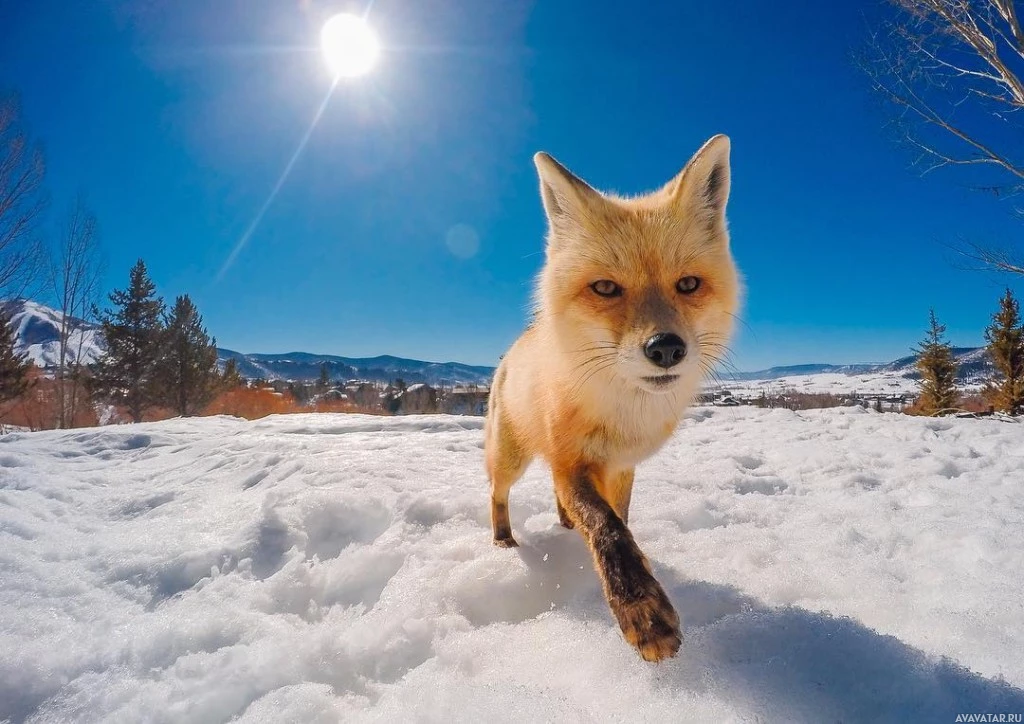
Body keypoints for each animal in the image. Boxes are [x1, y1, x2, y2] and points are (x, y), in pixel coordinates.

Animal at [483, 134, 741, 663]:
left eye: (688, 284)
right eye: (605, 288)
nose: (665, 348)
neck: (622, 414)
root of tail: (514, 347)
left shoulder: (621, 465)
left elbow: (619, 519)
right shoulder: (571, 461)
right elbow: (607, 528)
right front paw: (642, 612)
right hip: (511, 458)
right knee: (497, 493)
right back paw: (504, 542)